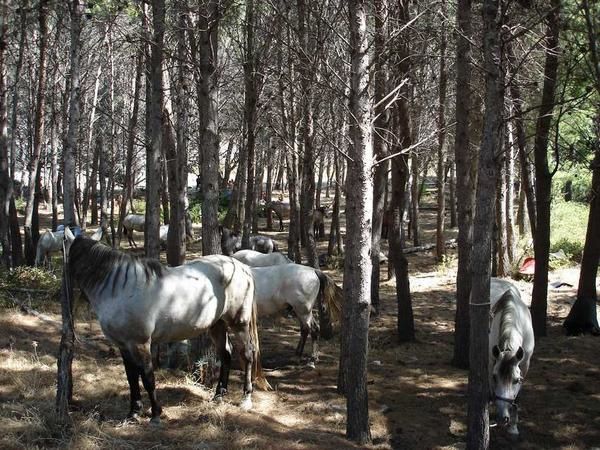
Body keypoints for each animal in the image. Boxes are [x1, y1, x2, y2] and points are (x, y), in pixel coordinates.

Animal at [62, 227, 264, 424]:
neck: (120, 289)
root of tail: (241, 267)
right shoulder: (123, 345)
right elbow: (131, 377)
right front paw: (133, 412)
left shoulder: (140, 343)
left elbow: (147, 377)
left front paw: (155, 414)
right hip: (217, 324)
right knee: (226, 354)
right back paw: (219, 395)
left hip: (239, 323)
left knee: (247, 354)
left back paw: (246, 398)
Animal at [488, 276, 536, 438]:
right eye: (495, 377)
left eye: (516, 380)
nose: (502, 418)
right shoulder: (492, 360)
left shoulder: (525, 365)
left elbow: (518, 396)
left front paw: (513, 427)